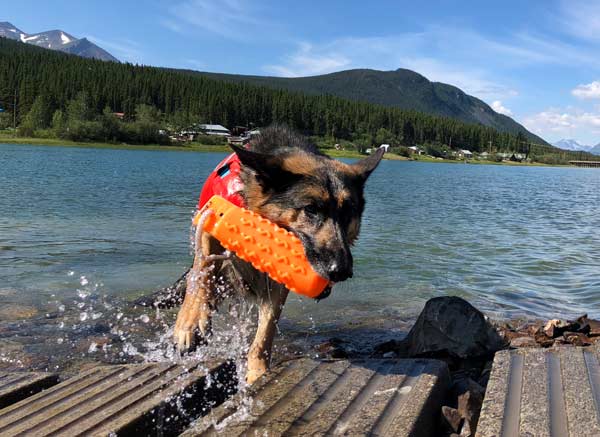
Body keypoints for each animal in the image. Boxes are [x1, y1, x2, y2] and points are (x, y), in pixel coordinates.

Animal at [173, 125, 384, 382]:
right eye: (310, 209)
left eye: (348, 212)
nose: (341, 271)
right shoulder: (211, 223)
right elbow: (202, 274)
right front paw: (189, 325)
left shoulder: (278, 280)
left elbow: (266, 329)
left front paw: (257, 371)